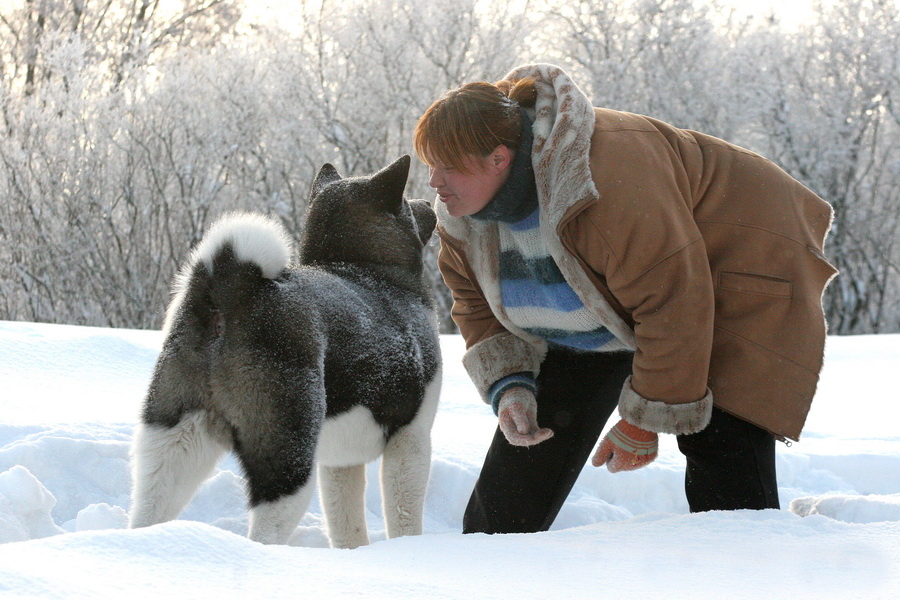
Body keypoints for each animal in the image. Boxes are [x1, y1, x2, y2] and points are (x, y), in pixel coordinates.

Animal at [129, 156, 442, 548]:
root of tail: (233, 289)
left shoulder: (340, 463)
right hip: (286, 454)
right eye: (404, 203)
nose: (429, 202)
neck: (367, 267)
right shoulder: (411, 439)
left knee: (150, 504)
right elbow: (403, 513)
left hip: (173, 436)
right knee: (267, 529)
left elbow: (346, 521)